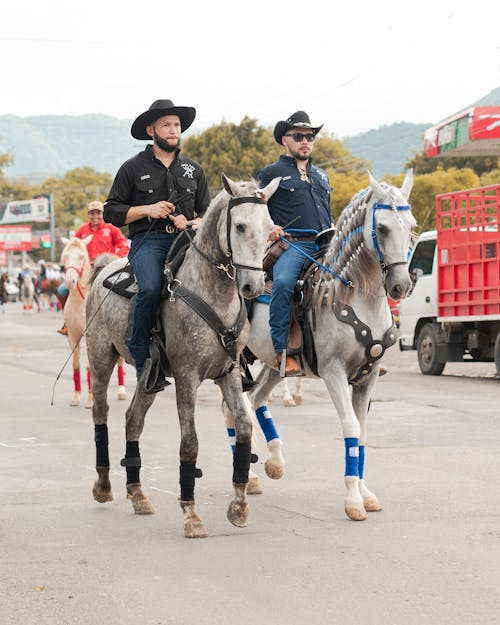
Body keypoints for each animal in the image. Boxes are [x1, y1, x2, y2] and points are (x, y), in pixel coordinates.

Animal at [85, 174, 278, 536]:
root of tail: (105, 267)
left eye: (271, 227)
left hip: (150, 375)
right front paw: (191, 514)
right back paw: (103, 485)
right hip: (101, 359)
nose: (254, 286)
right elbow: (189, 443)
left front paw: (239, 506)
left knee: (133, 419)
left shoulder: (228, 372)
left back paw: (137, 493)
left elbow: (244, 429)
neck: (211, 292)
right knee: (101, 414)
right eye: (240, 226)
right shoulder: (188, 376)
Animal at [226, 171, 414, 520]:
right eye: (382, 228)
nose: (401, 285)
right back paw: (251, 474)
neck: (352, 294)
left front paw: (365, 493)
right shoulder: (333, 372)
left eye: (410, 224)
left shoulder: (368, 378)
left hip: (276, 363)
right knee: (233, 410)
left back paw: (274, 461)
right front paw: (353, 499)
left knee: (257, 398)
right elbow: (350, 426)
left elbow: (362, 431)